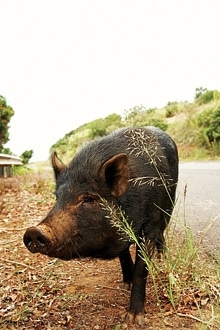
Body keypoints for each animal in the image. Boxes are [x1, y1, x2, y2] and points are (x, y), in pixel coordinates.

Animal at [23, 127, 179, 324]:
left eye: (88, 198)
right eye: (57, 198)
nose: (34, 231)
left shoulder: (149, 226)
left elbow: (141, 268)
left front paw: (133, 319)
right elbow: (123, 255)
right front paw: (126, 284)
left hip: (168, 208)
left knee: (162, 233)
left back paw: (161, 260)